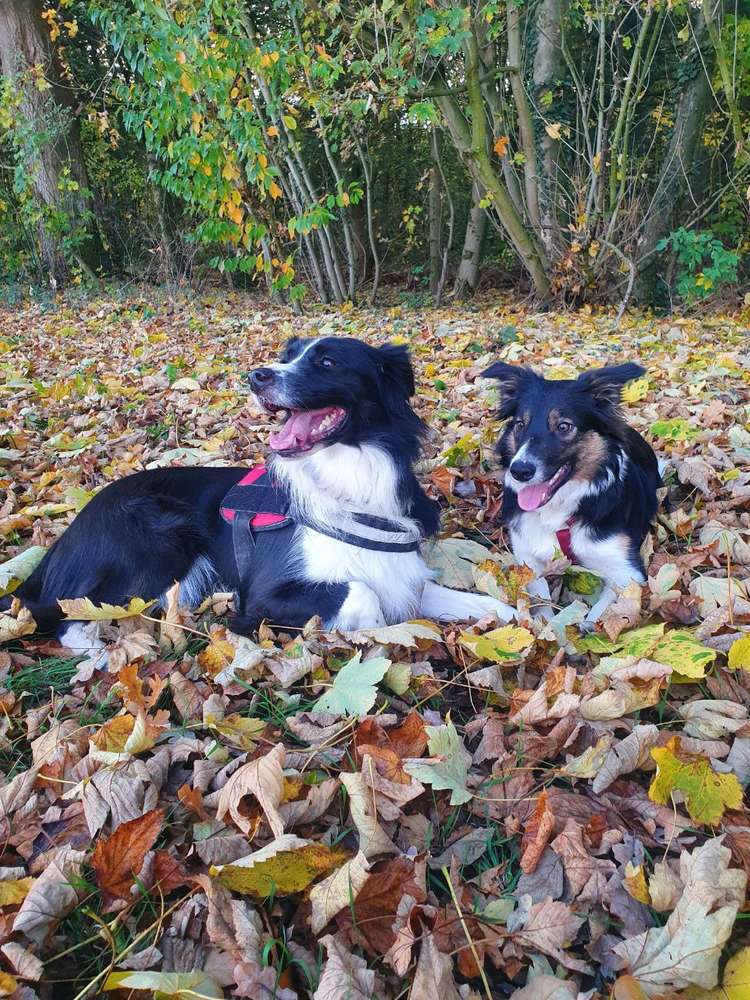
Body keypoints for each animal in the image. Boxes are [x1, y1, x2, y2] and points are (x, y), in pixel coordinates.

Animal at [11, 336, 516, 648]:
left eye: (326, 361)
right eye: (287, 354)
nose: (257, 376)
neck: (351, 482)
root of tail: (65, 537)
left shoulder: (400, 574)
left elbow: (478, 602)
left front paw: (518, 619)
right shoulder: (265, 596)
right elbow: (362, 595)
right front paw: (372, 634)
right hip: (156, 541)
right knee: (69, 617)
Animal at [484, 360, 660, 624]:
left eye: (564, 426)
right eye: (520, 424)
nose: (519, 471)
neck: (557, 513)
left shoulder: (627, 572)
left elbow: (604, 611)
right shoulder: (527, 556)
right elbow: (540, 598)